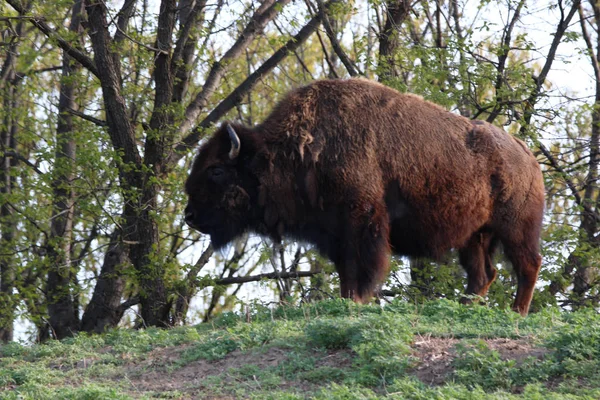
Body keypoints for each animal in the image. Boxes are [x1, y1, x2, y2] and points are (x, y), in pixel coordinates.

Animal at [185, 78, 548, 316]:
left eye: (216, 170)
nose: (189, 216)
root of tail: (527, 156)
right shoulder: (335, 233)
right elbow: (345, 269)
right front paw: (347, 300)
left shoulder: (363, 221)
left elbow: (363, 266)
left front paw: (357, 300)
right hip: (475, 237)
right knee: (483, 274)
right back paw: (465, 307)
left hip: (515, 230)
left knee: (528, 265)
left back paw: (516, 311)